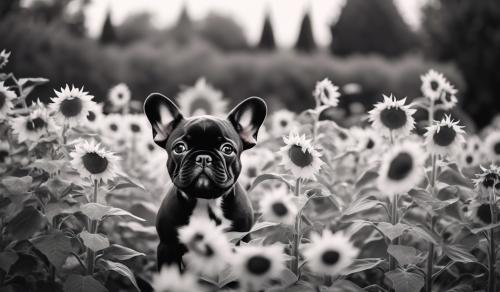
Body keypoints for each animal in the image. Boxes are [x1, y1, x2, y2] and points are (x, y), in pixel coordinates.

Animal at [143, 93, 268, 270]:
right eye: (179, 148)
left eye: (227, 149)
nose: (203, 157)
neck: (205, 202)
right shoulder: (167, 247)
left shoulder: (240, 241)